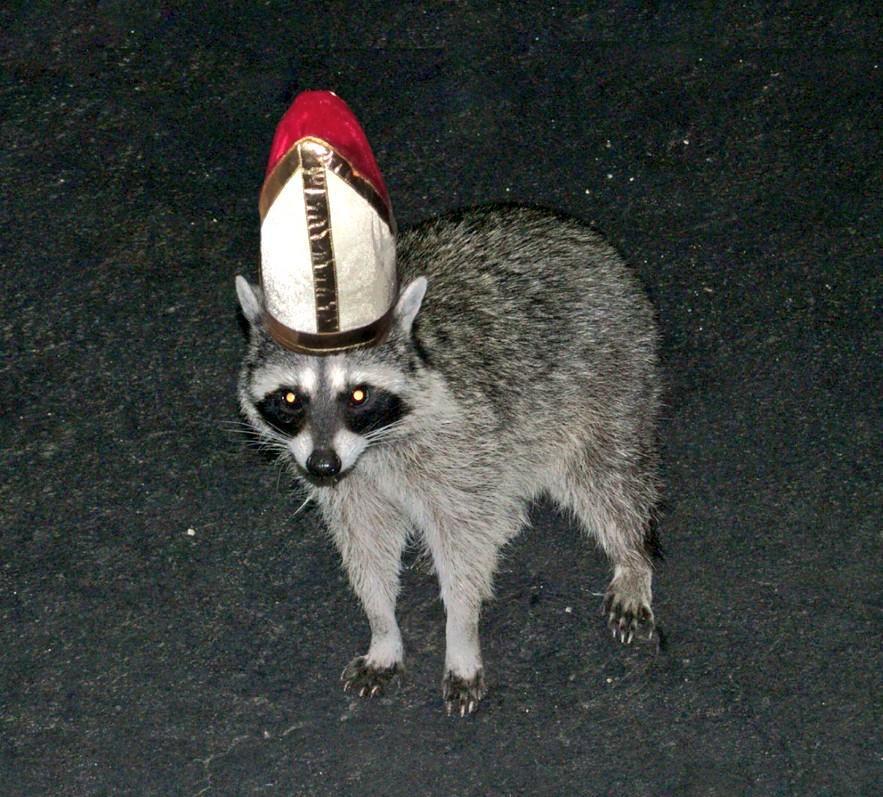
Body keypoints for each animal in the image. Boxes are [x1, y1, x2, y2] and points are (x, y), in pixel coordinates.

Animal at [236, 205, 661, 716]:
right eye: (290, 398)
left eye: (357, 395)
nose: (322, 467)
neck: (372, 446)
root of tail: (579, 232)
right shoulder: (355, 482)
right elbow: (366, 547)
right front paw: (382, 627)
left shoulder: (458, 439)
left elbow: (462, 548)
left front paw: (461, 632)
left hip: (609, 376)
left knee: (606, 478)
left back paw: (632, 555)